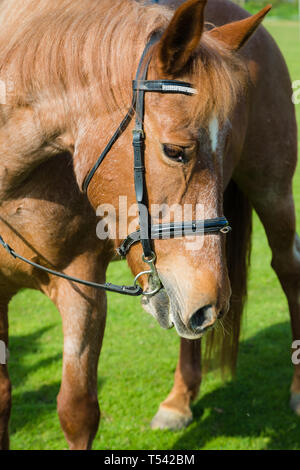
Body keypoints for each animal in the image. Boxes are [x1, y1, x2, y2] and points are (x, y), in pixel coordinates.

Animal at [0, 0, 298, 452]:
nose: (214, 303)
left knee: (288, 269)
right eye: (175, 151)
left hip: (273, 192)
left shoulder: (81, 287)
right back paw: (179, 401)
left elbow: (77, 410)